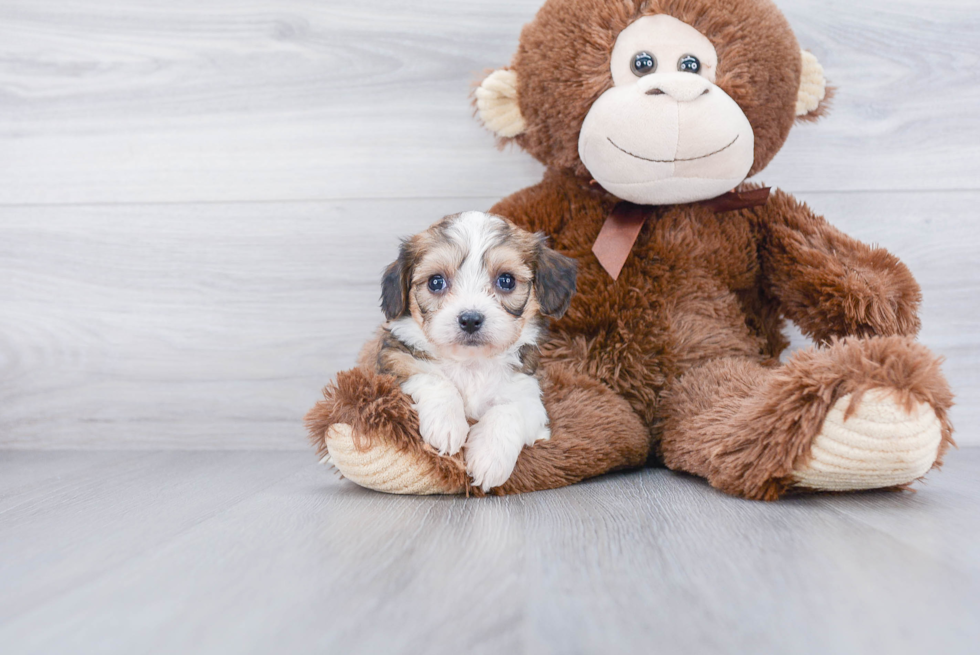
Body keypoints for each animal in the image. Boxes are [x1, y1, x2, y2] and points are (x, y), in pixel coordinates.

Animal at [374, 211, 576, 492]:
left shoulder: (530, 396)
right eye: (436, 282)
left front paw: (489, 458)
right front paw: (447, 425)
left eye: (506, 280)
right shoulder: (394, 362)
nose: (470, 319)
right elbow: (432, 378)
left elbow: (509, 411)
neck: (471, 364)